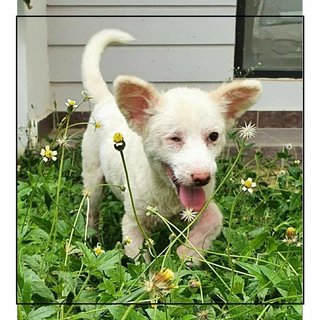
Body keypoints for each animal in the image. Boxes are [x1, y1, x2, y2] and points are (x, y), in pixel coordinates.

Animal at [80, 29, 262, 264]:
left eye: (213, 136)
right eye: (174, 139)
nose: (202, 178)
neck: (167, 192)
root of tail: (106, 99)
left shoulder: (203, 206)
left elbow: (214, 219)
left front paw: (189, 253)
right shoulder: (133, 222)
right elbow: (140, 262)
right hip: (92, 178)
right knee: (92, 210)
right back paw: (91, 237)